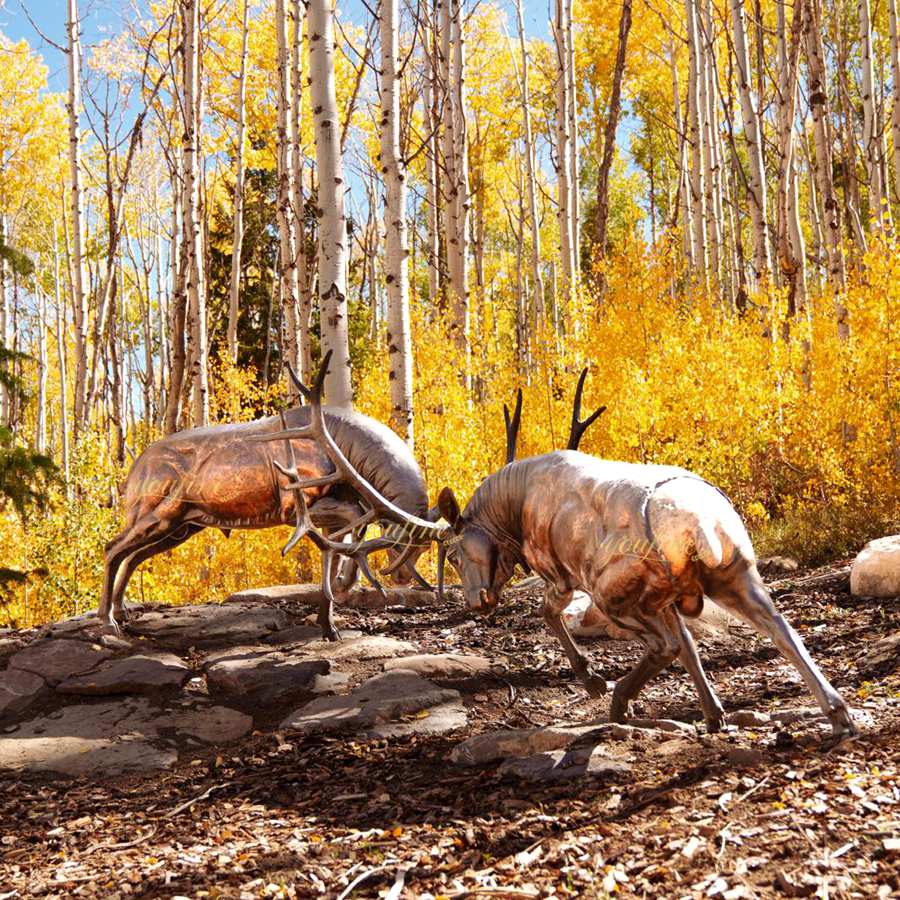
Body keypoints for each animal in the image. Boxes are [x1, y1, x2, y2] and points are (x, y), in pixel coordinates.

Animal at [99, 356, 438, 640]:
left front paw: (330, 626)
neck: (346, 452)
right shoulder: (294, 507)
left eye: (424, 547)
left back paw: (122, 611)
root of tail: (132, 474)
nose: (402, 577)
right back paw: (107, 621)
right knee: (113, 547)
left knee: (133, 556)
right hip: (157, 514)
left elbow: (336, 550)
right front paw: (344, 587)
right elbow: (352, 525)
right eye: (400, 541)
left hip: (182, 527)